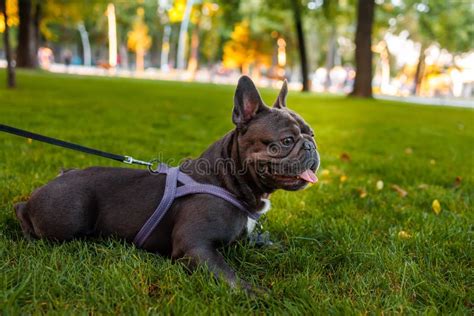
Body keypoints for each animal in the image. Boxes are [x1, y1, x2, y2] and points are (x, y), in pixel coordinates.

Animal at [14, 76, 320, 292]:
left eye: (312, 134)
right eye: (286, 141)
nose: (311, 146)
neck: (227, 180)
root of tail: (63, 174)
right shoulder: (195, 247)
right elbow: (229, 276)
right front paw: (256, 294)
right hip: (69, 216)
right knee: (23, 212)